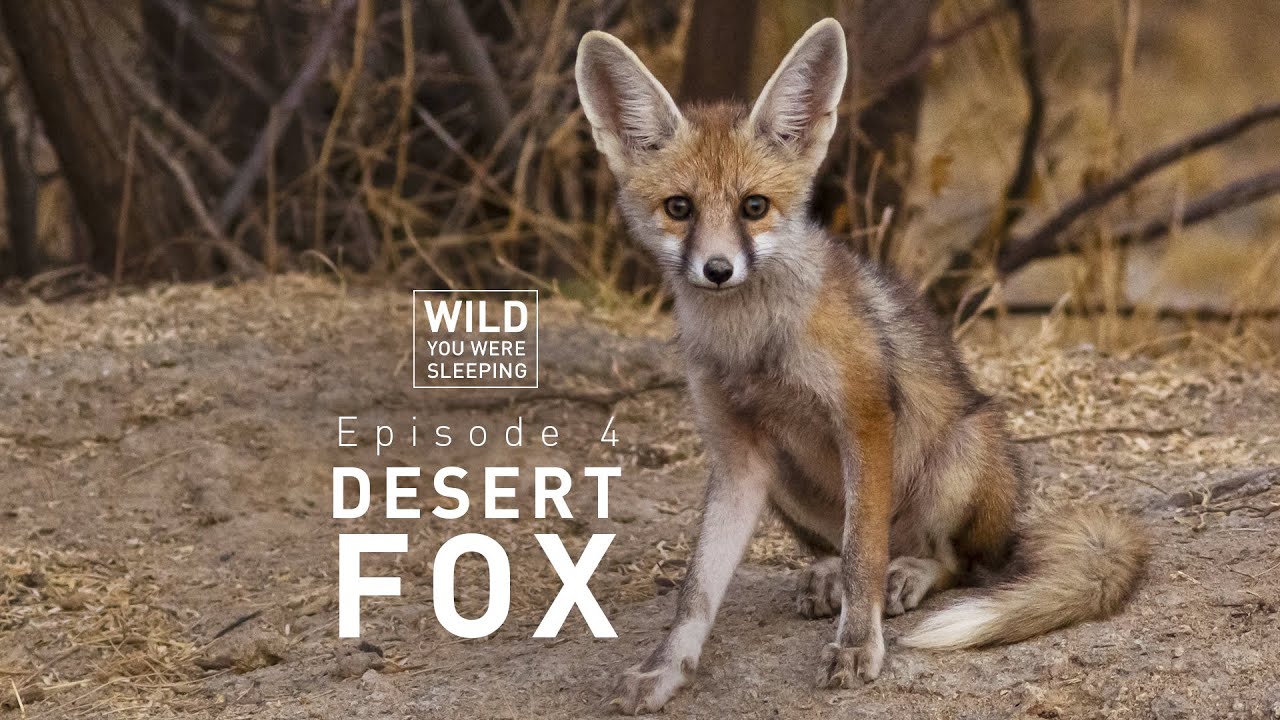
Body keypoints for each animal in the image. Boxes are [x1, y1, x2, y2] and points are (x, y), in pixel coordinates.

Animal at [575, 18, 1148, 715]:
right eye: (678, 208)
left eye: (754, 207)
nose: (717, 270)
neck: (754, 344)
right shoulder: (737, 453)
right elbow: (697, 588)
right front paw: (666, 669)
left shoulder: (864, 416)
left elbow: (862, 555)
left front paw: (857, 644)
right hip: (786, 484)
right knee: (850, 546)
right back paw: (826, 577)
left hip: (962, 455)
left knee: (956, 562)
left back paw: (911, 574)